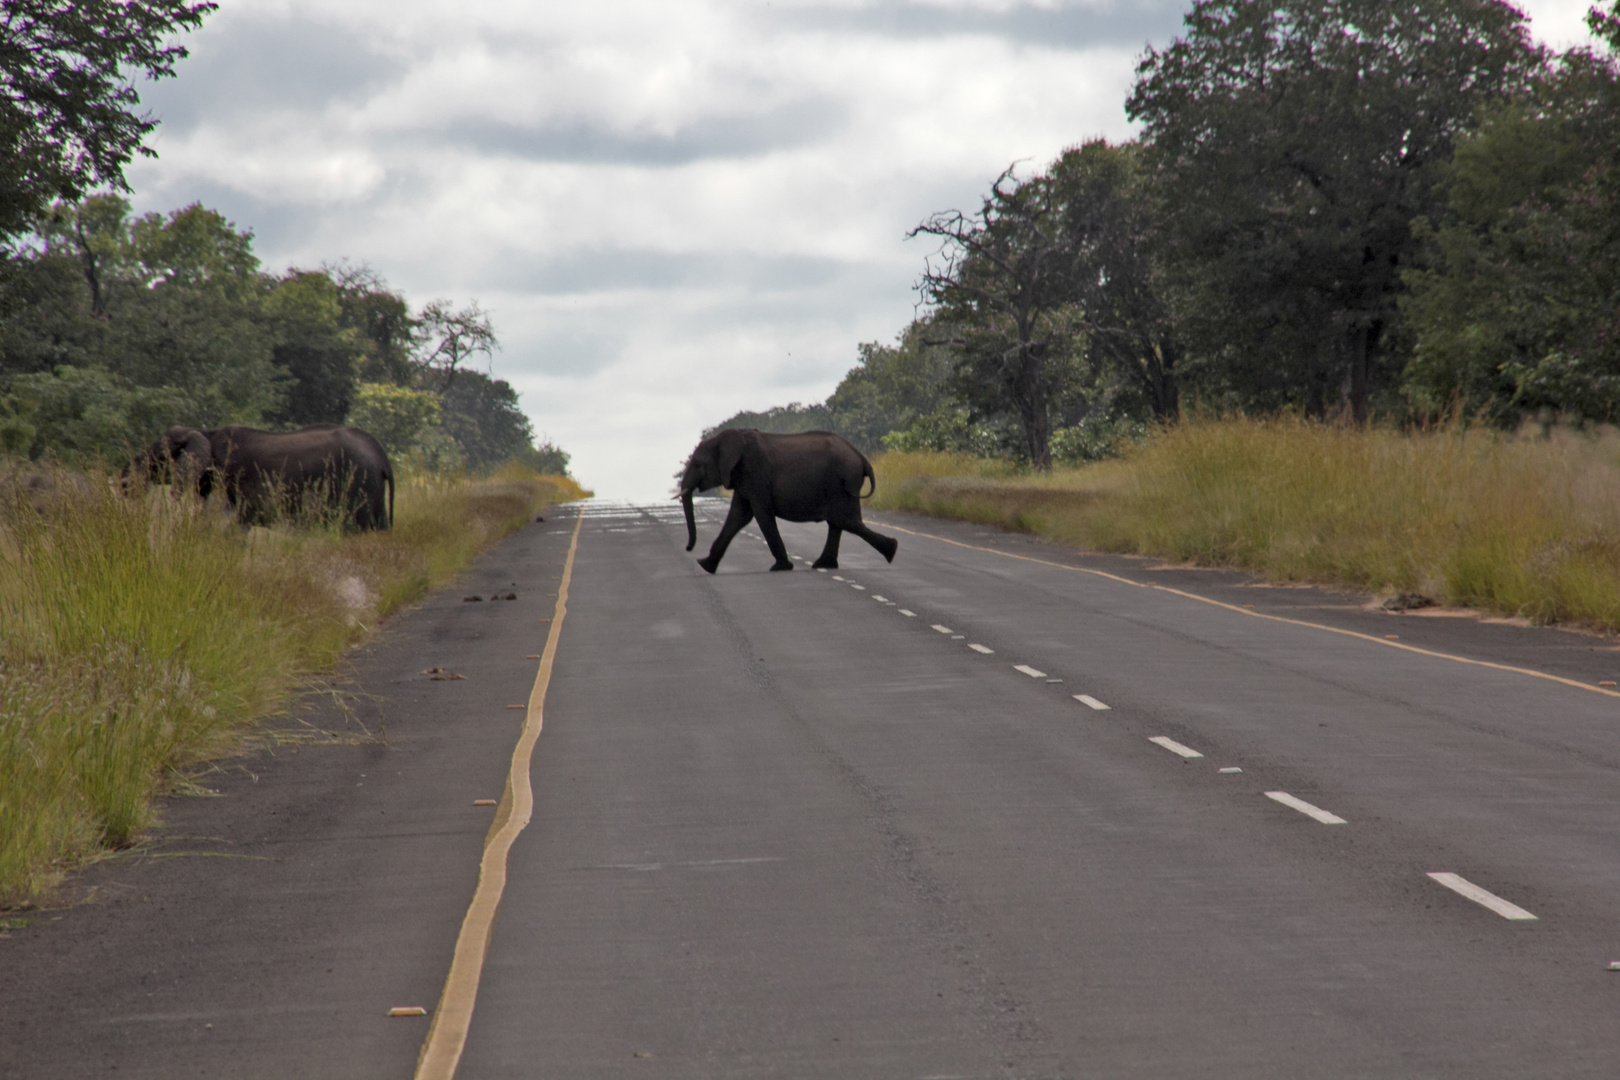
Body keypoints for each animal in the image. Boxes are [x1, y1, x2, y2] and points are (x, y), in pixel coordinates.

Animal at [673, 427, 900, 573]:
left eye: (698, 464)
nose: (688, 548)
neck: (727, 437)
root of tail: (861, 457)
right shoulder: (743, 477)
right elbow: (738, 516)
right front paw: (705, 566)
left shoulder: (754, 472)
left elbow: (760, 514)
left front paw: (780, 567)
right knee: (839, 522)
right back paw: (825, 564)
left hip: (844, 481)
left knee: (846, 521)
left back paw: (891, 551)